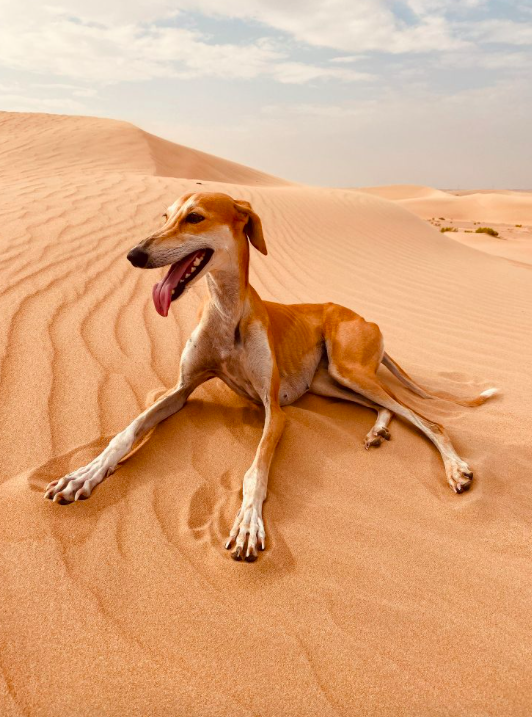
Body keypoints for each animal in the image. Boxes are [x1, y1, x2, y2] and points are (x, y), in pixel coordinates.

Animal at [43, 193, 496, 564]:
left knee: (426, 419)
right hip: (331, 381)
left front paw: (247, 523)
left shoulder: (274, 410)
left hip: (349, 368)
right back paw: (377, 431)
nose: (134, 254)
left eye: (195, 217)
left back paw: (455, 469)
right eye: (166, 216)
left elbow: (254, 471)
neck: (227, 312)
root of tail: (365, 318)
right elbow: (126, 431)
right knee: (388, 407)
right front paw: (84, 473)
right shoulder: (180, 390)